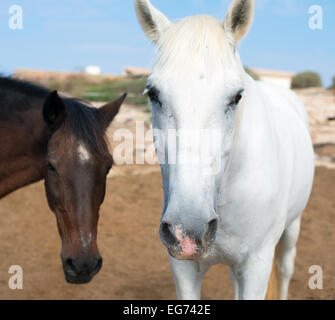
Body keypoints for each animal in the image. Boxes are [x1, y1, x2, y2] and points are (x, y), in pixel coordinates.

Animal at [135, 0, 316, 300]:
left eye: (236, 97)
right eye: (153, 94)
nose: (187, 231)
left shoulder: (257, 264)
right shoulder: (183, 268)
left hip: (292, 228)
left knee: (286, 270)